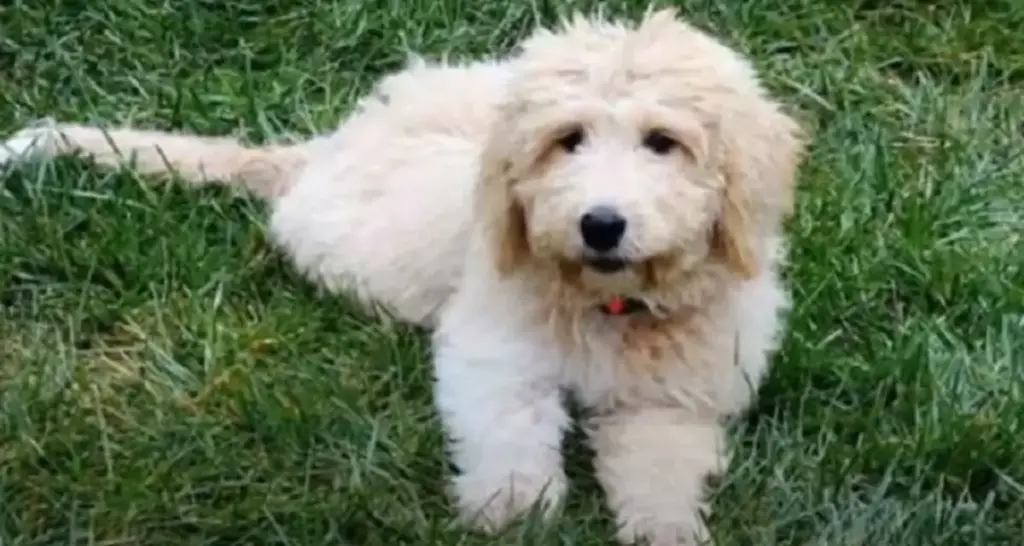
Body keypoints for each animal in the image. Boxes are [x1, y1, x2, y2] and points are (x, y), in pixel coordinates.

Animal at [0, 7, 806, 540]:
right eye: (568, 139)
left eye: (663, 142)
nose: (600, 224)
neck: (608, 306)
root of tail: (320, 151)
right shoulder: (494, 348)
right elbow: (507, 425)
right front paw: (514, 511)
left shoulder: (677, 397)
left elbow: (662, 466)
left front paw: (665, 527)